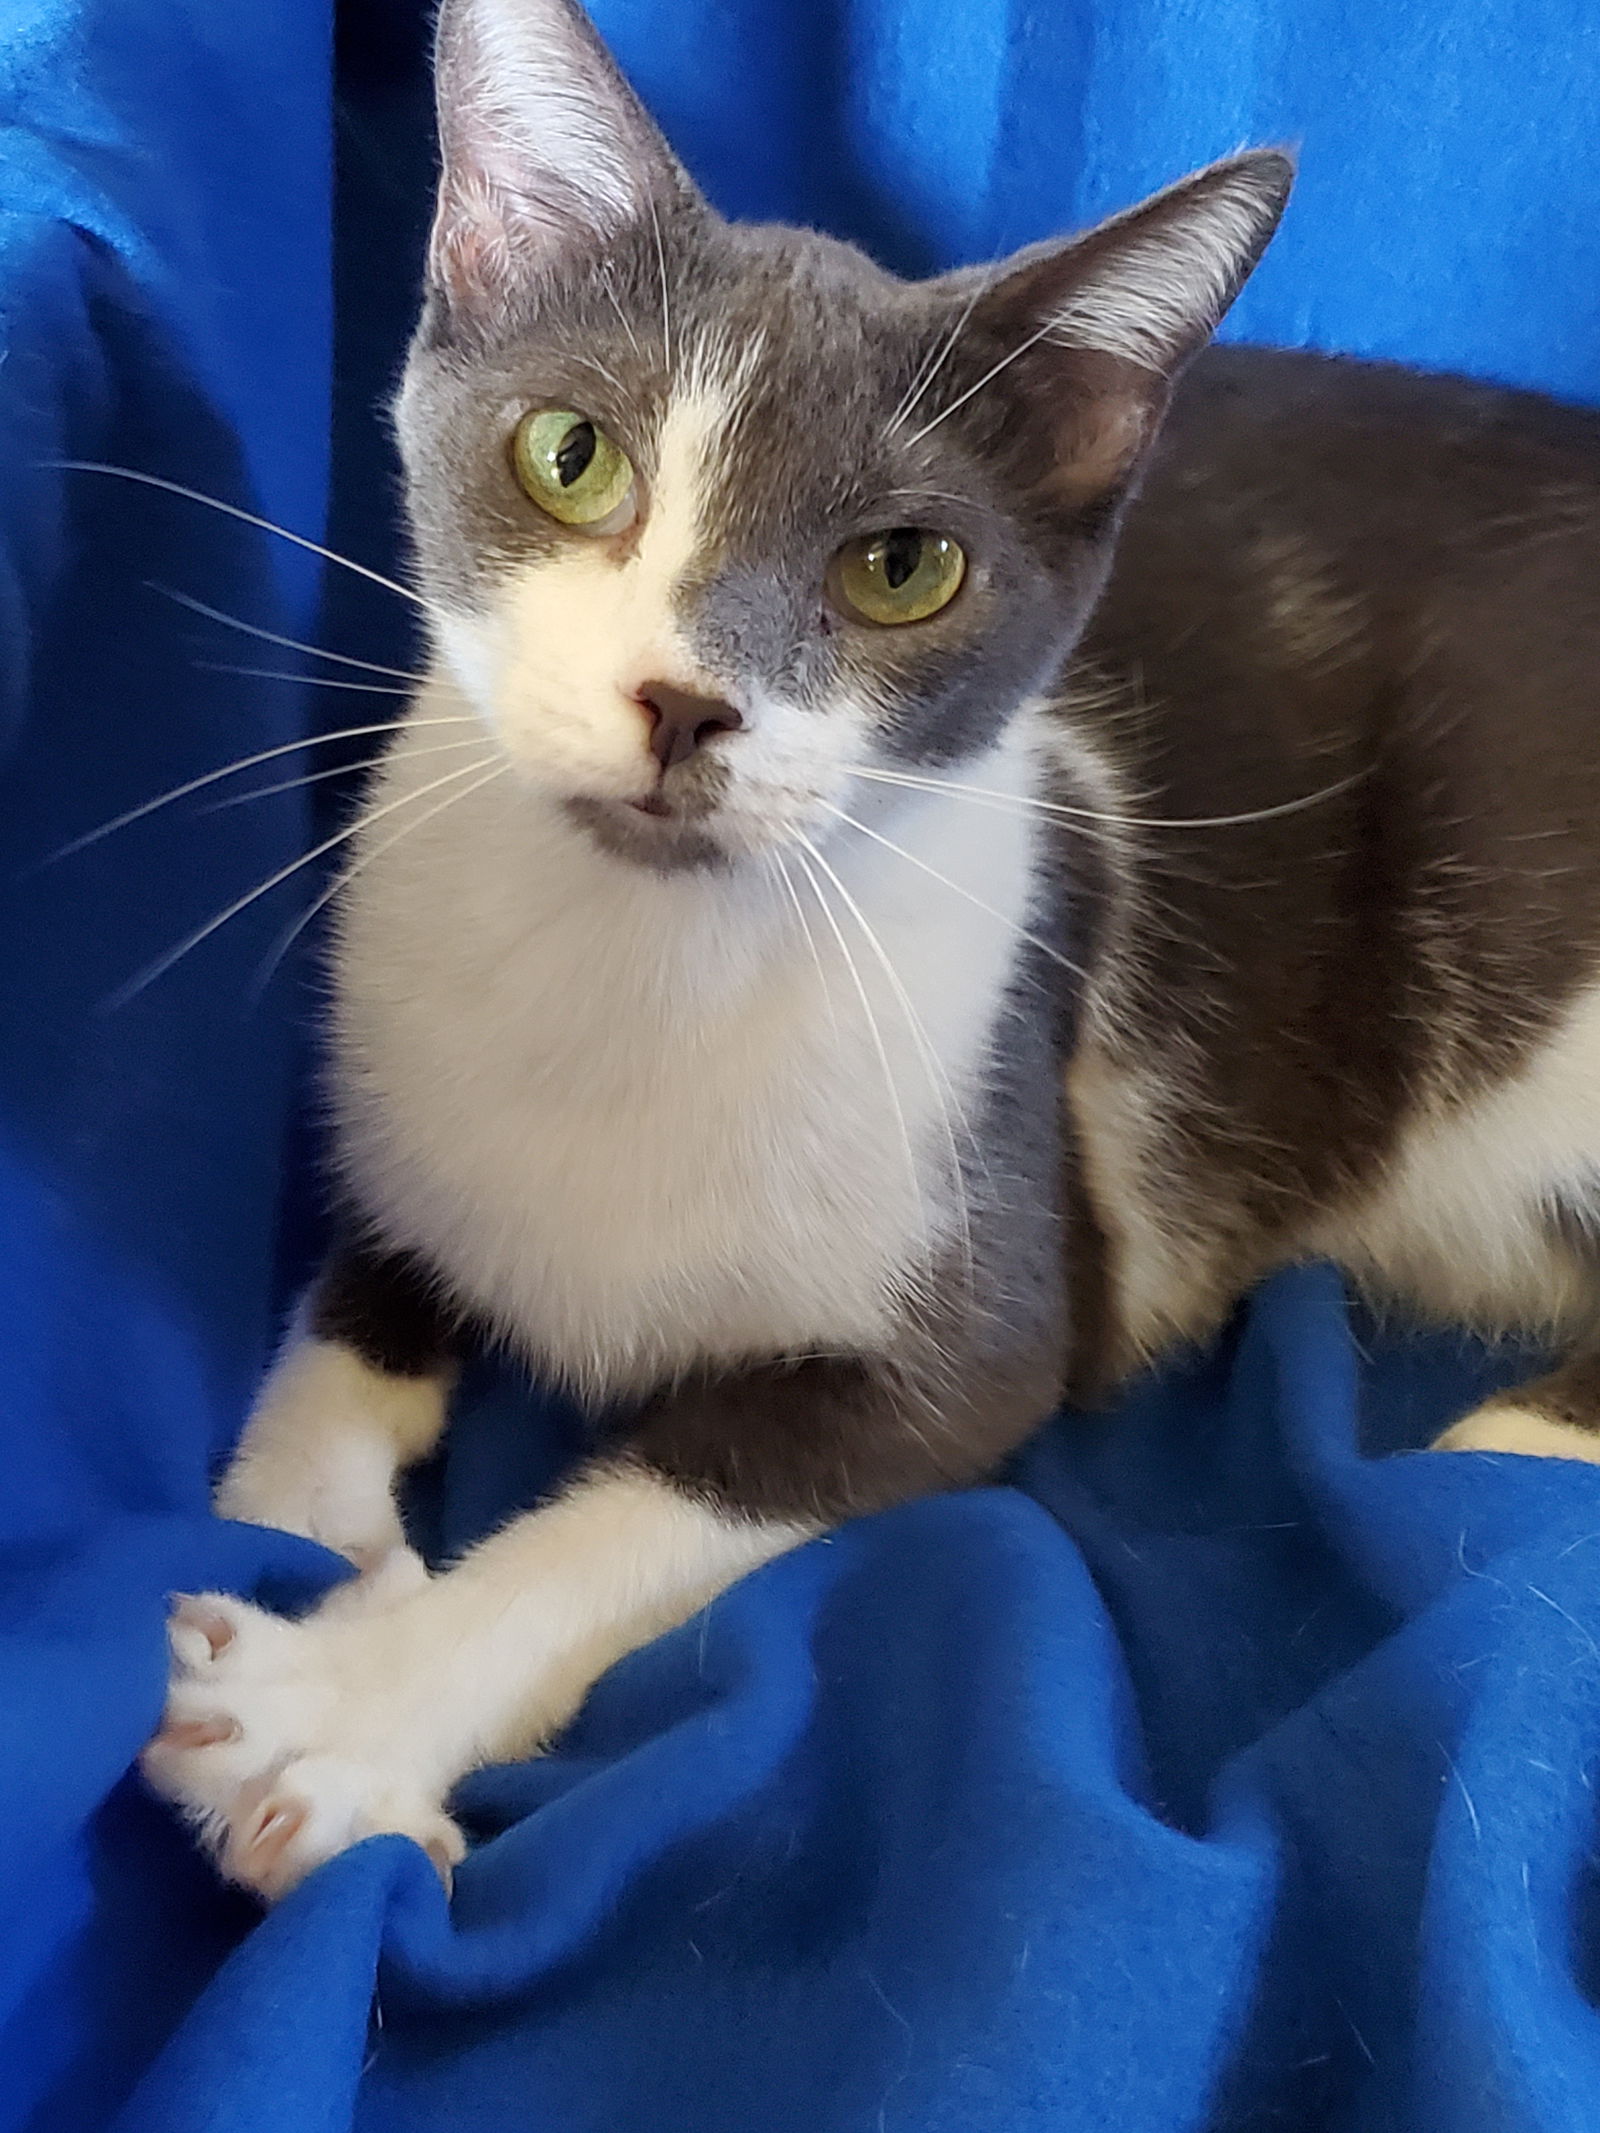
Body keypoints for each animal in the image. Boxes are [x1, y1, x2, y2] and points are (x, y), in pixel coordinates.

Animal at [137, 0, 1600, 1902]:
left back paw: (1515, 1444)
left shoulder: (997, 1292)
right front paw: (316, 1529)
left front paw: (350, 1709)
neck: (642, 955)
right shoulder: (402, 1100)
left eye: (904, 567)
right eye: (572, 455)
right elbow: (341, 1332)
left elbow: (636, 1516)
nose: (684, 702)